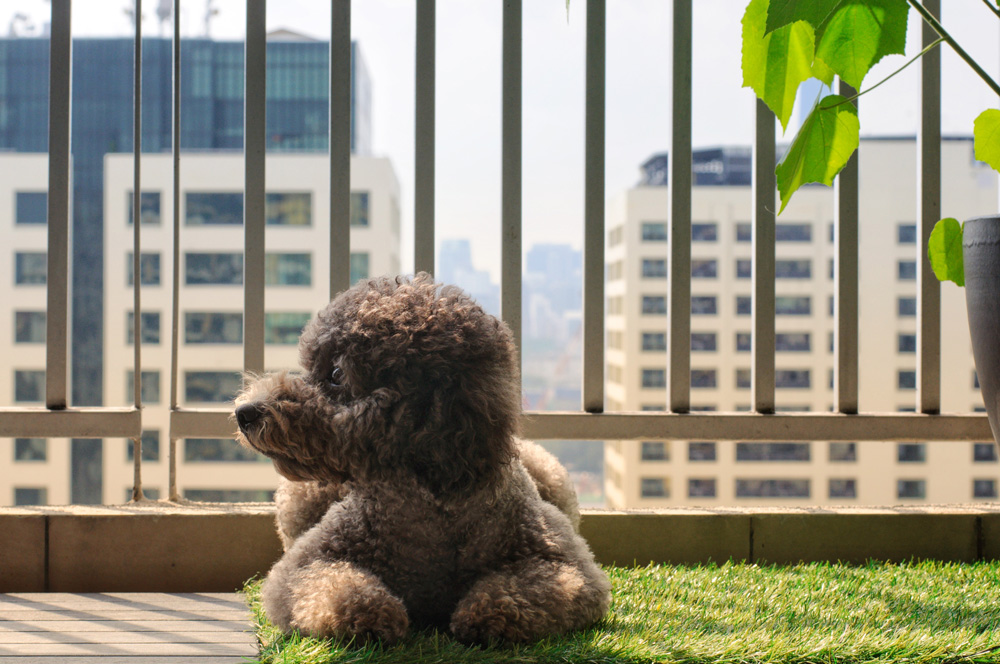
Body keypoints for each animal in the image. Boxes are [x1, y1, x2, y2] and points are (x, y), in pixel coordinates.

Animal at [234, 274, 608, 644]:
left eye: (337, 374)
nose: (244, 412)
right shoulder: (305, 562)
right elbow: (332, 587)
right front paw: (371, 613)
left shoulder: (568, 564)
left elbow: (537, 587)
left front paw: (486, 614)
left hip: (554, 479)